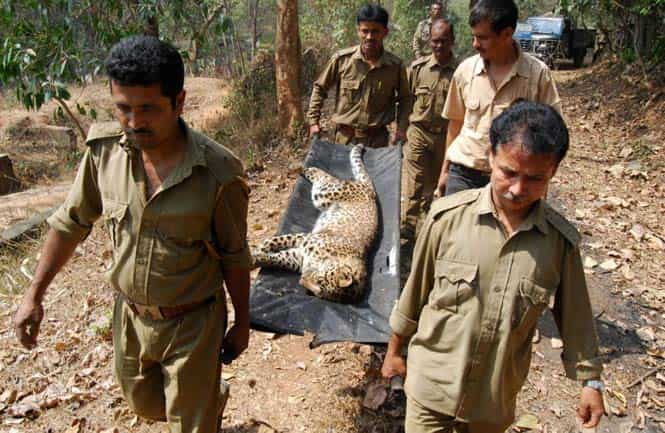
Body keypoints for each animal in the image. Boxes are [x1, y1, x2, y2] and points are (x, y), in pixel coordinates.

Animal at [252, 143, 376, 302]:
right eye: (321, 280)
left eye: (319, 293)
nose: (302, 281)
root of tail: (371, 191)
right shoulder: (307, 239)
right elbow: (275, 241)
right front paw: (258, 249)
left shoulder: (297, 256)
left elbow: (276, 258)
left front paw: (257, 258)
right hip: (326, 193)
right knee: (322, 175)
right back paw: (297, 166)